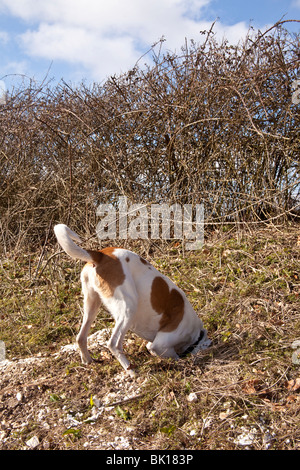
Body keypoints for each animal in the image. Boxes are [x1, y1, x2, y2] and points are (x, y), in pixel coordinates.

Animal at [53, 223, 211, 374]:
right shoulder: (160, 345)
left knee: (81, 337)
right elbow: (171, 355)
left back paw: (88, 361)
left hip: (91, 305)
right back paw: (132, 371)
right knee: (113, 344)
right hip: (128, 307)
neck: (195, 334)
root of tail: (101, 255)